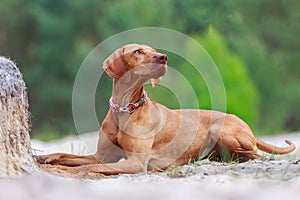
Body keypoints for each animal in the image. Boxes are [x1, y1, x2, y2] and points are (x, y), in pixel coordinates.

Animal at [35, 43, 296, 177]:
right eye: (137, 51)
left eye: (153, 50)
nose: (163, 57)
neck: (125, 108)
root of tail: (248, 129)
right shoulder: (103, 155)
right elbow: (67, 155)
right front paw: (44, 158)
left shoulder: (135, 163)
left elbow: (89, 166)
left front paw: (58, 169)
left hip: (220, 131)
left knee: (256, 155)